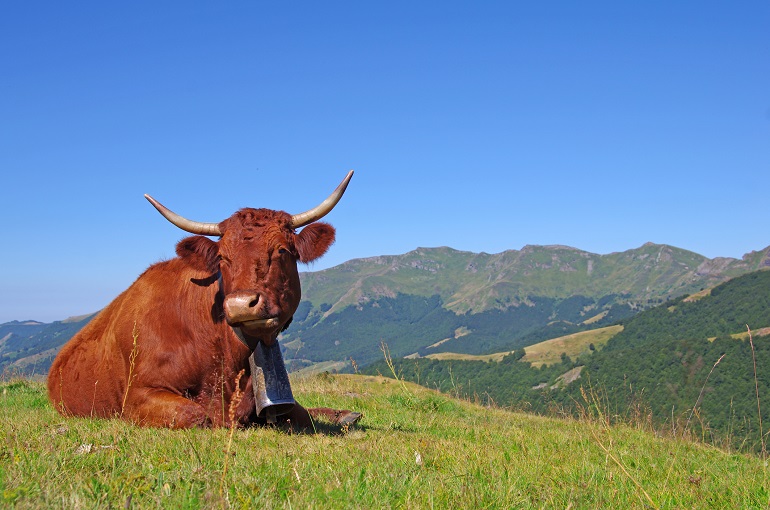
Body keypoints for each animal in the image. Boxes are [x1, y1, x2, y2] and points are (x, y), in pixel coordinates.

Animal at [47, 171, 359, 429]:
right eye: (222, 258)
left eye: (281, 250)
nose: (241, 304)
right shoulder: (137, 395)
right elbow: (197, 415)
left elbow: (299, 412)